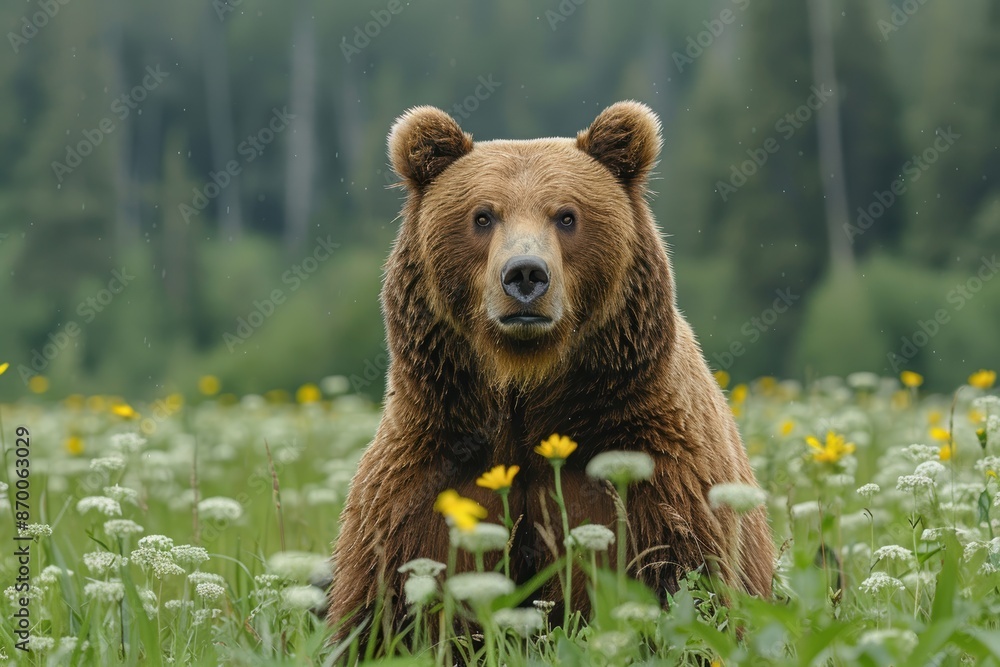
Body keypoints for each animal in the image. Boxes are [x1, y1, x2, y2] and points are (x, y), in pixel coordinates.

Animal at [328, 101, 773, 638]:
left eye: (566, 215)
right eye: (482, 215)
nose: (525, 274)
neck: (526, 394)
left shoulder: (653, 474)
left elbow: (685, 581)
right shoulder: (430, 476)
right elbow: (387, 606)